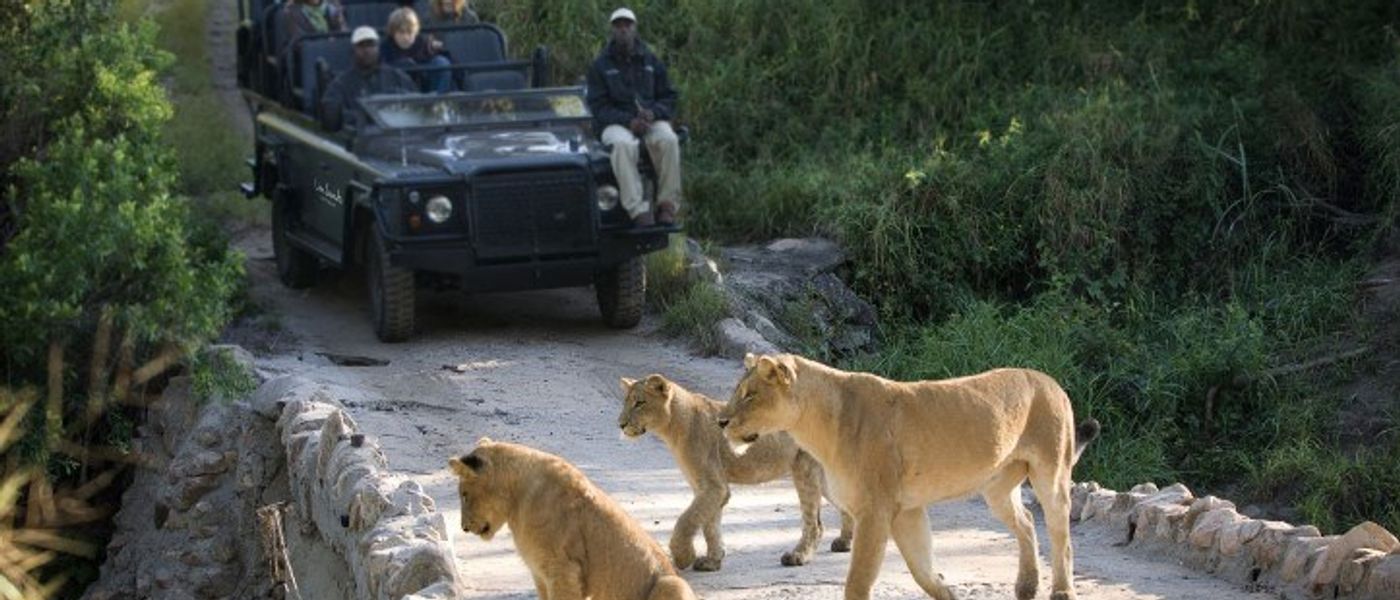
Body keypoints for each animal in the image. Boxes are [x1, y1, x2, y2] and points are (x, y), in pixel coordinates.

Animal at [447, 438, 697, 600]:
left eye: (464, 494)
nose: (464, 527)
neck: (517, 500)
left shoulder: (564, 570)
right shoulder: (540, 574)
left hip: (672, 584)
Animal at [618, 374, 853, 572]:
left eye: (639, 403)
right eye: (625, 402)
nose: (621, 424)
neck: (673, 424)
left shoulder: (714, 486)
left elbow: (687, 520)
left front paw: (684, 557)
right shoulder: (707, 488)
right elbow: (709, 524)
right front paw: (713, 560)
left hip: (805, 468)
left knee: (814, 523)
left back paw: (799, 556)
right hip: (823, 477)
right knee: (845, 508)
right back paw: (844, 543)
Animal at [716, 354, 1100, 600]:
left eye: (749, 395)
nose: (721, 422)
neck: (815, 424)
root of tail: (1051, 381)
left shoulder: (875, 510)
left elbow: (858, 581)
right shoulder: (906, 510)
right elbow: (921, 568)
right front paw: (948, 591)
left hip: (1051, 473)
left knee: (1060, 533)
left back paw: (1061, 590)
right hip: (997, 488)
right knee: (1026, 522)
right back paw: (1026, 586)